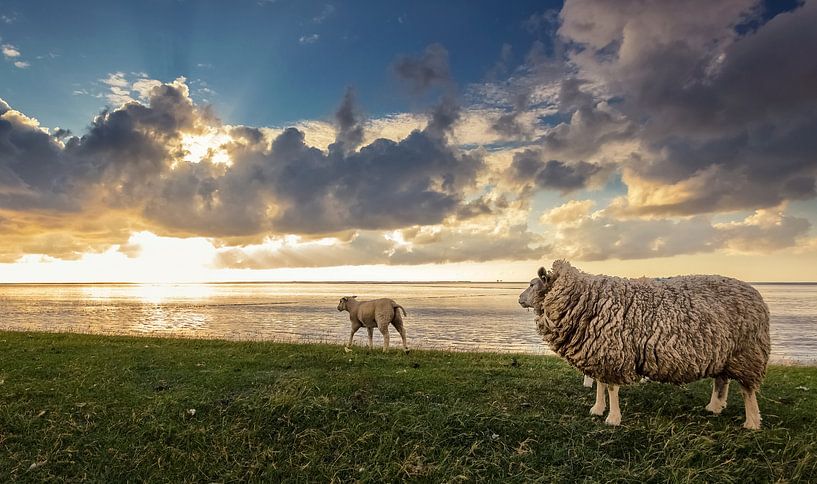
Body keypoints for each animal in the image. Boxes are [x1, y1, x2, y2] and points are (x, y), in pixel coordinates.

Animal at [518, 260, 770, 429]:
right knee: (721, 380)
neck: (585, 297)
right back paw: (714, 407)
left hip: (748, 352)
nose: (519, 299)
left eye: (532, 284)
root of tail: (755, 293)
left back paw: (752, 422)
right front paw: (597, 409)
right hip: (725, 352)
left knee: (748, 390)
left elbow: (611, 387)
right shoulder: (599, 351)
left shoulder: (614, 351)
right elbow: (600, 384)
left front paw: (613, 418)